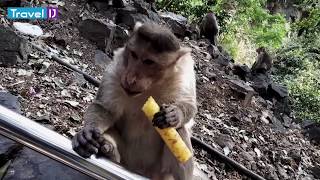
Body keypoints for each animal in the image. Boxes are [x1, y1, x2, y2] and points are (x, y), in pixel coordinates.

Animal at [72, 21, 198, 179]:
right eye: (134, 54)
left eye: (148, 61)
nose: (130, 79)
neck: (151, 86)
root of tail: (138, 170)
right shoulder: (117, 70)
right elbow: (105, 109)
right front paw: (86, 134)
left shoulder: (184, 73)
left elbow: (189, 105)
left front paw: (174, 114)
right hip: (126, 158)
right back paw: (109, 150)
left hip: (161, 171)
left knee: (178, 131)